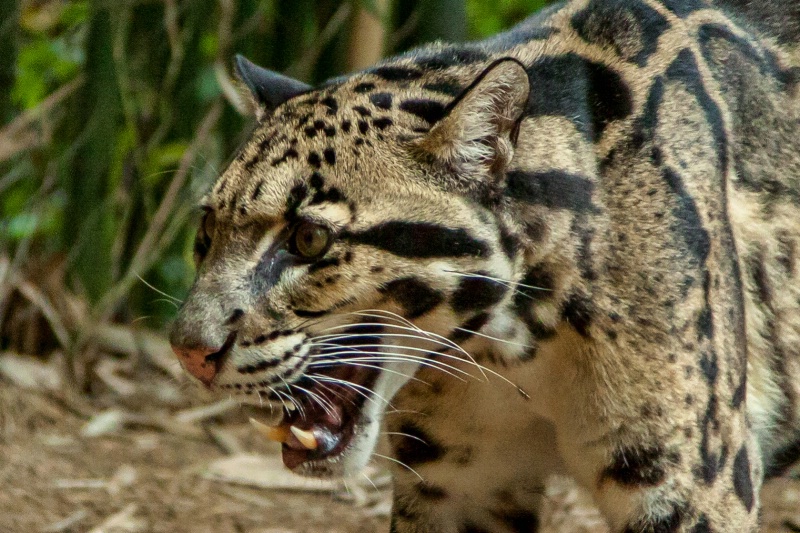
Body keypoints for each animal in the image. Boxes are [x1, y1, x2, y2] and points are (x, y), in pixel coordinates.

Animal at [170, 2, 800, 528]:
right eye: (206, 232)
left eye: (308, 238)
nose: (188, 351)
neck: (512, 347)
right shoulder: (459, 481)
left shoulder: (693, 491)